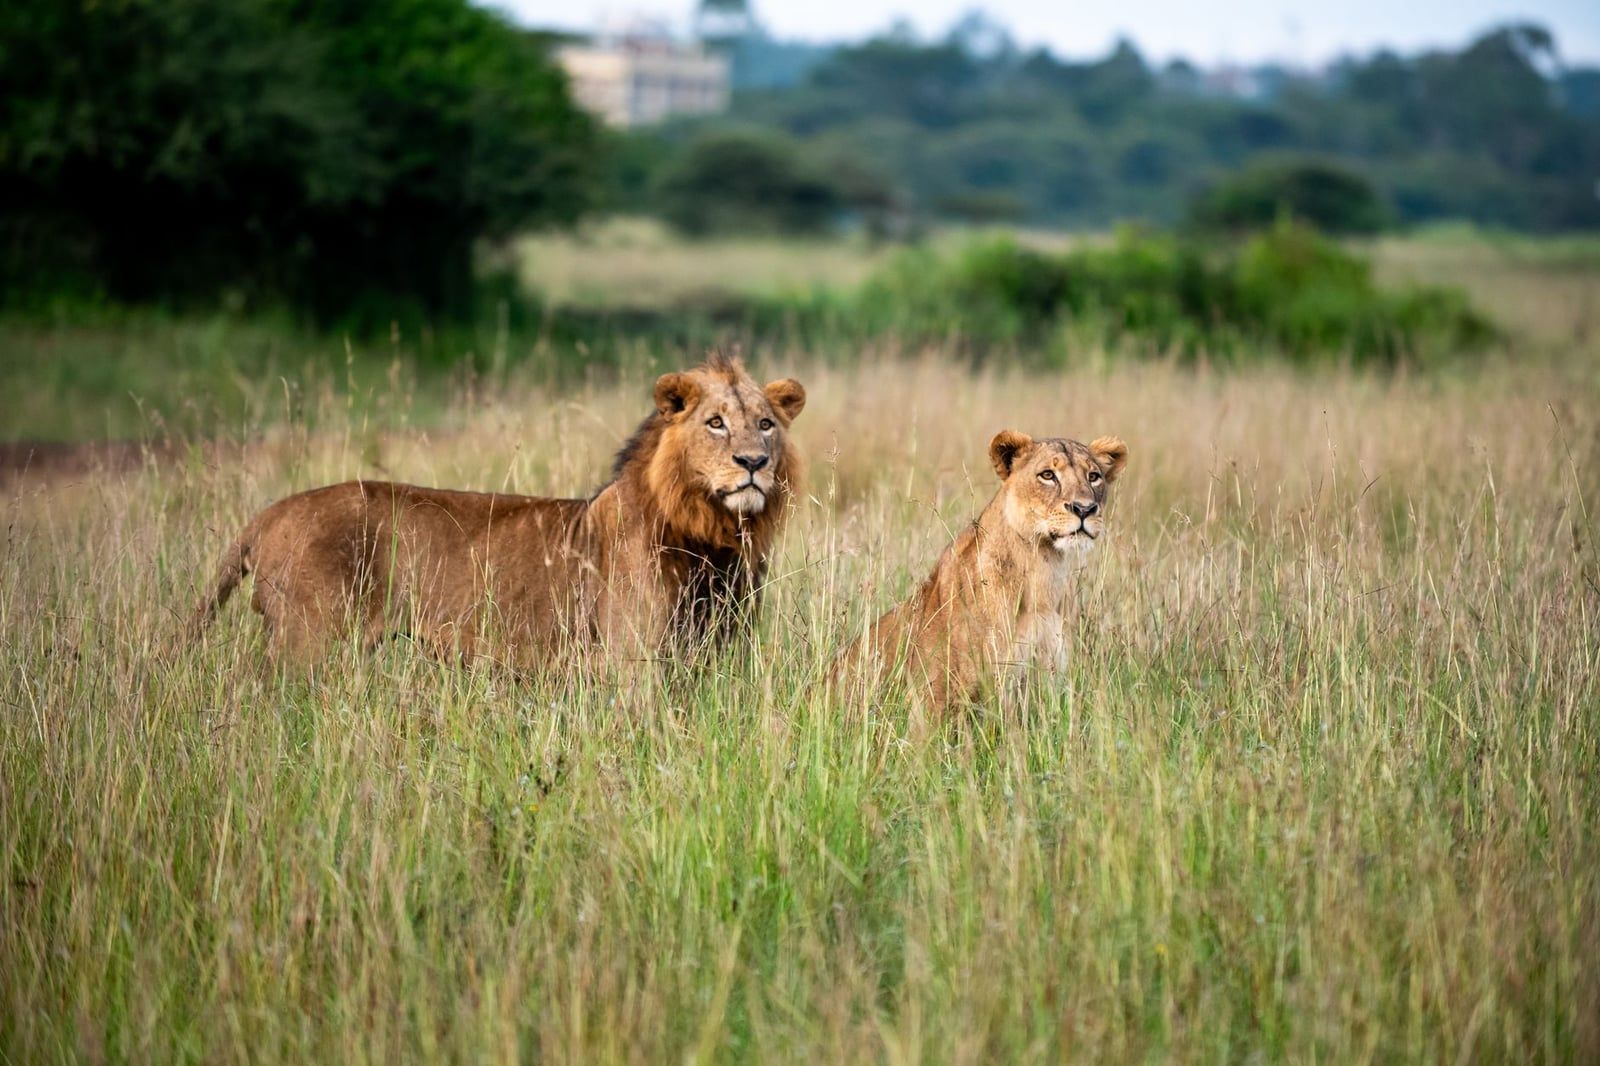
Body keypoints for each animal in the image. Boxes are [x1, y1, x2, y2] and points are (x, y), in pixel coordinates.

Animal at [192, 353, 806, 665]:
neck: (713, 536)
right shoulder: (632, 661)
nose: (753, 462)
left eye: (765, 424)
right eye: (716, 423)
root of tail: (268, 515)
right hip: (310, 644)